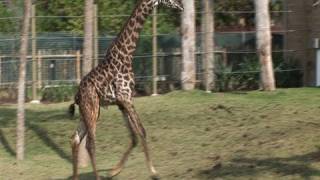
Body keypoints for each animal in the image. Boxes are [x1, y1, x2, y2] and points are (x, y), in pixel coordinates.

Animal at [69, 0, 185, 179]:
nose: (181, 5)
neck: (126, 54)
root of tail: (77, 95)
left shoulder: (121, 103)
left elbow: (134, 137)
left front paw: (114, 171)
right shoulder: (127, 98)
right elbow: (142, 131)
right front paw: (154, 172)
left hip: (87, 113)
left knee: (75, 140)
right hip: (92, 110)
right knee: (89, 144)